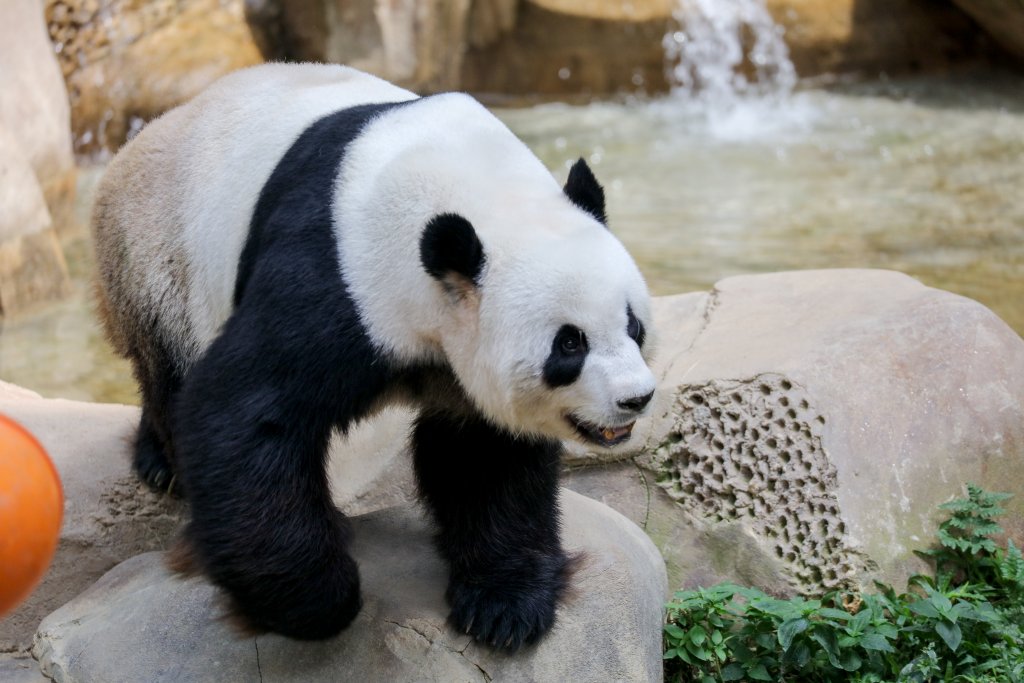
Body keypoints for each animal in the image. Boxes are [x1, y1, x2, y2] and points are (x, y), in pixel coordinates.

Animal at [92, 63, 656, 650]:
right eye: (569, 344)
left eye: (633, 325)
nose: (635, 399)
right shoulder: (341, 276)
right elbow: (242, 409)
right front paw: (315, 599)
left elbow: (484, 454)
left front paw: (505, 606)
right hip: (156, 254)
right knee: (169, 371)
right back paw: (160, 463)